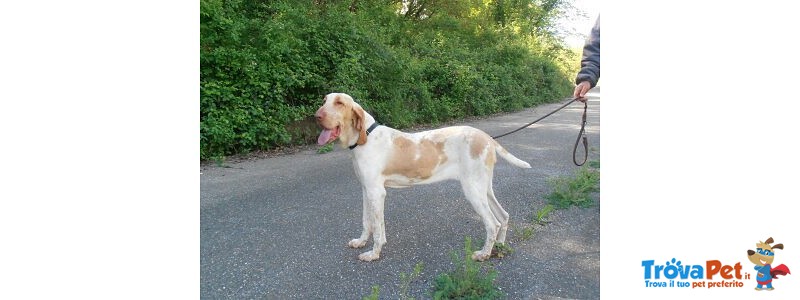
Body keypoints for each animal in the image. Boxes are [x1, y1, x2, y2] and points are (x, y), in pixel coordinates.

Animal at [314, 93, 532, 260]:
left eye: (339, 103)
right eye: (324, 100)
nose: (316, 116)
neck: (365, 136)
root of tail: (487, 138)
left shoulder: (377, 193)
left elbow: (377, 228)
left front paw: (374, 254)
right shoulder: (366, 191)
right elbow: (367, 222)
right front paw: (361, 242)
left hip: (473, 190)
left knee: (493, 223)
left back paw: (484, 254)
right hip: (484, 189)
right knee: (503, 216)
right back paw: (499, 248)